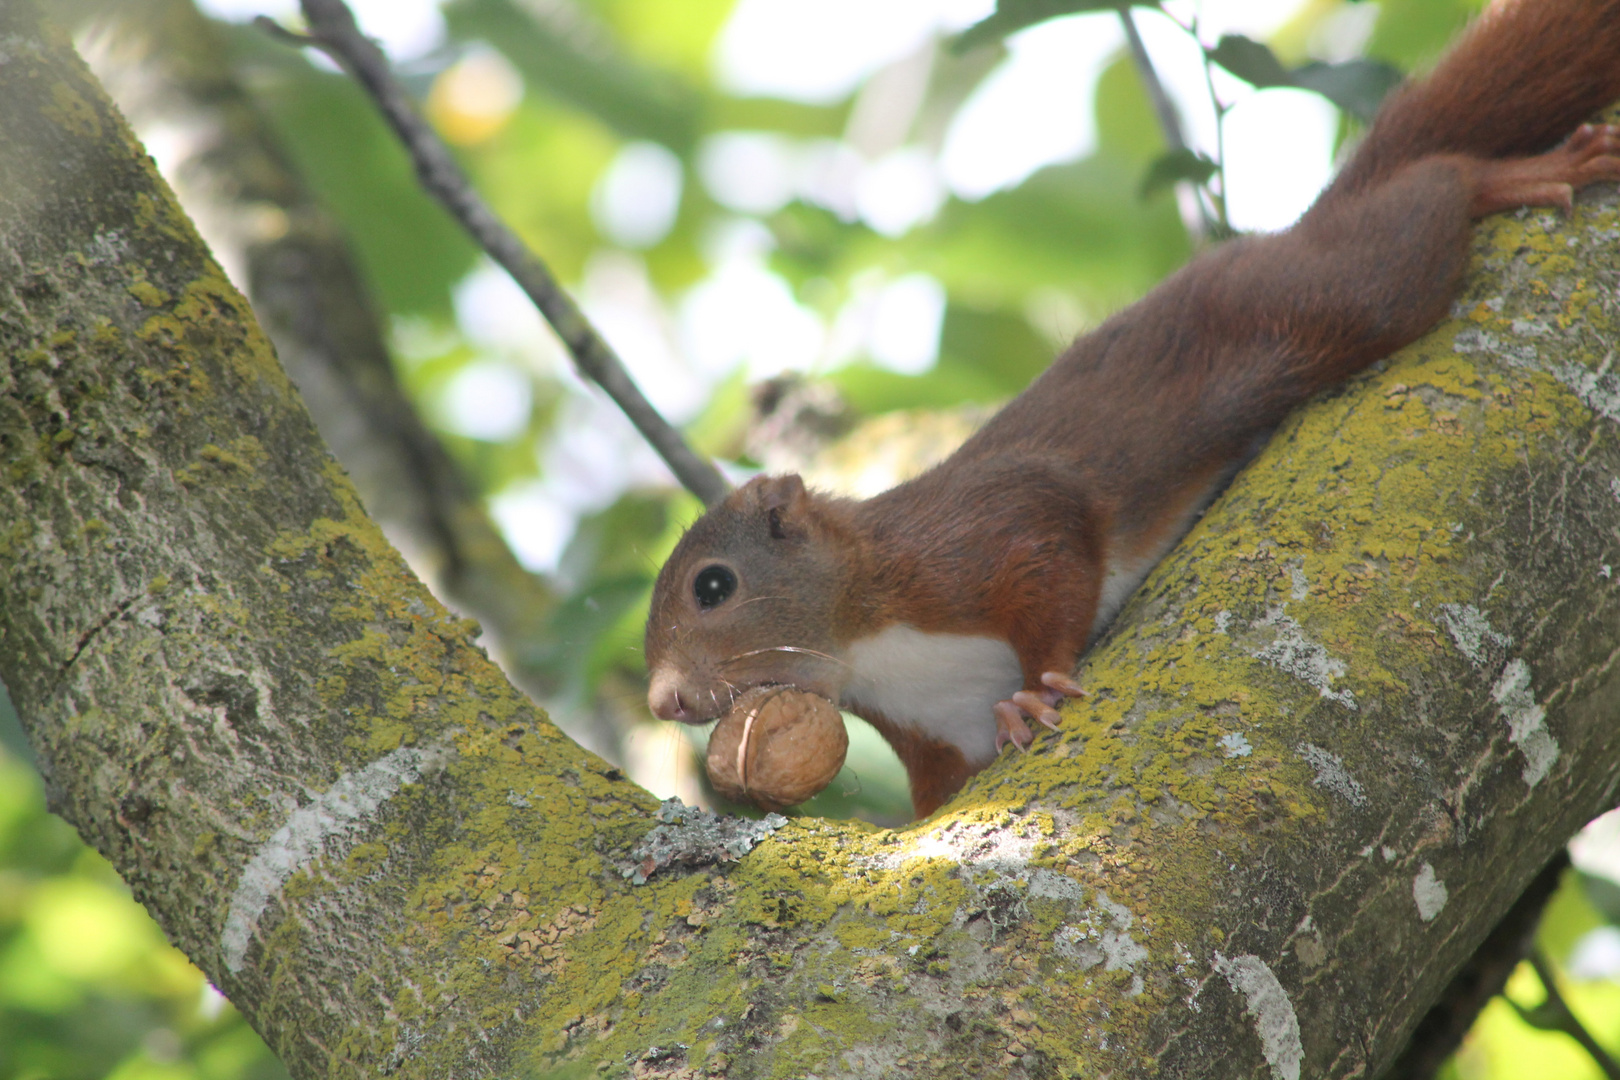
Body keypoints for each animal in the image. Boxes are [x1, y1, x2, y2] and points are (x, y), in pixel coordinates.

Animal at [641, 0, 1620, 816]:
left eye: (713, 586)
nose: (663, 699)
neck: (868, 644)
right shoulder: (935, 731)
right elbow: (942, 791)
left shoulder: (968, 537)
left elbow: (1052, 553)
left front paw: (1037, 688)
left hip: (1334, 297)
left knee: (1425, 198)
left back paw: (1513, 175)